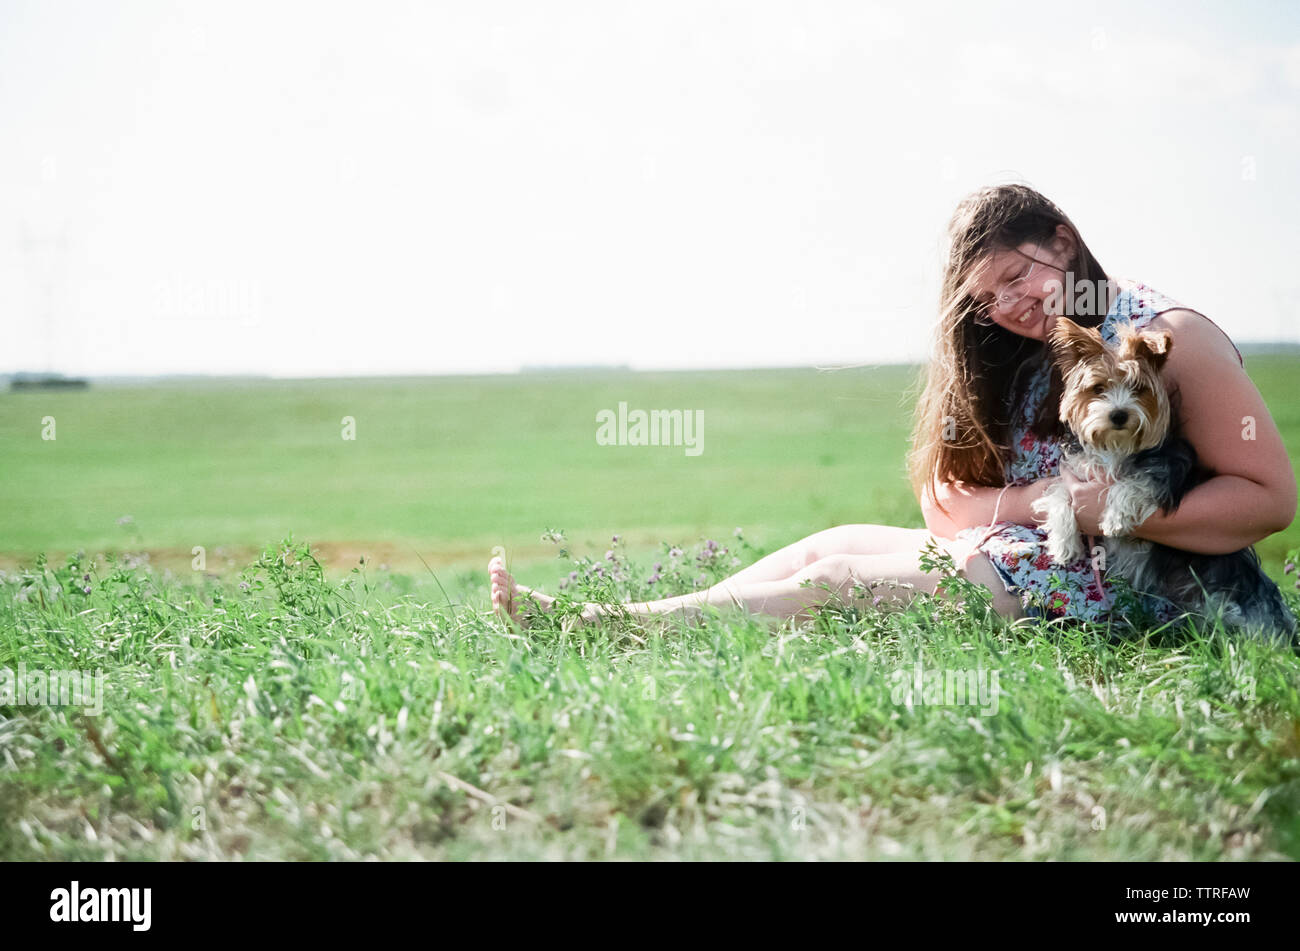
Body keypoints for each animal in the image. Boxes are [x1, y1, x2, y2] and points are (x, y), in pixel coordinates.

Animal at [1029, 315, 1294, 641]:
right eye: (1098, 388)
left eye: (1139, 388)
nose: (1119, 414)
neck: (1116, 446)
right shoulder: (1077, 471)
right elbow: (1057, 494)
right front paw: (1063, 544)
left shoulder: (1168, 470)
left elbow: (1134, 483)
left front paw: (1115, 517)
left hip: (1232, 606)